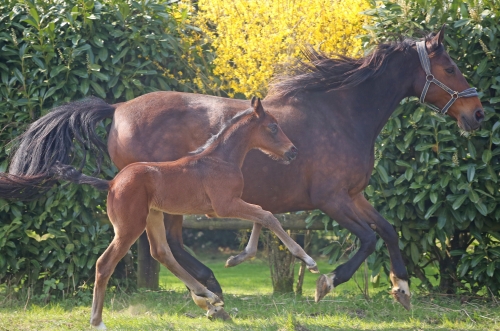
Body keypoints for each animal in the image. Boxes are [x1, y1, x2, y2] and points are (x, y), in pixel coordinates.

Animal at [0, 27, 484, 316]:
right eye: (450, 67)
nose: (477, 113)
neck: (343, 114)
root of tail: (116, 107)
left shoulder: (354, 195)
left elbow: (387, 230)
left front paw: (401, 287)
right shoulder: (331, 199)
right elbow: (366, 239)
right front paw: (325, 282)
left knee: (168, 247)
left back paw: (210, 288)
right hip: (168, 200)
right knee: (171, 245)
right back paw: (211, 288)